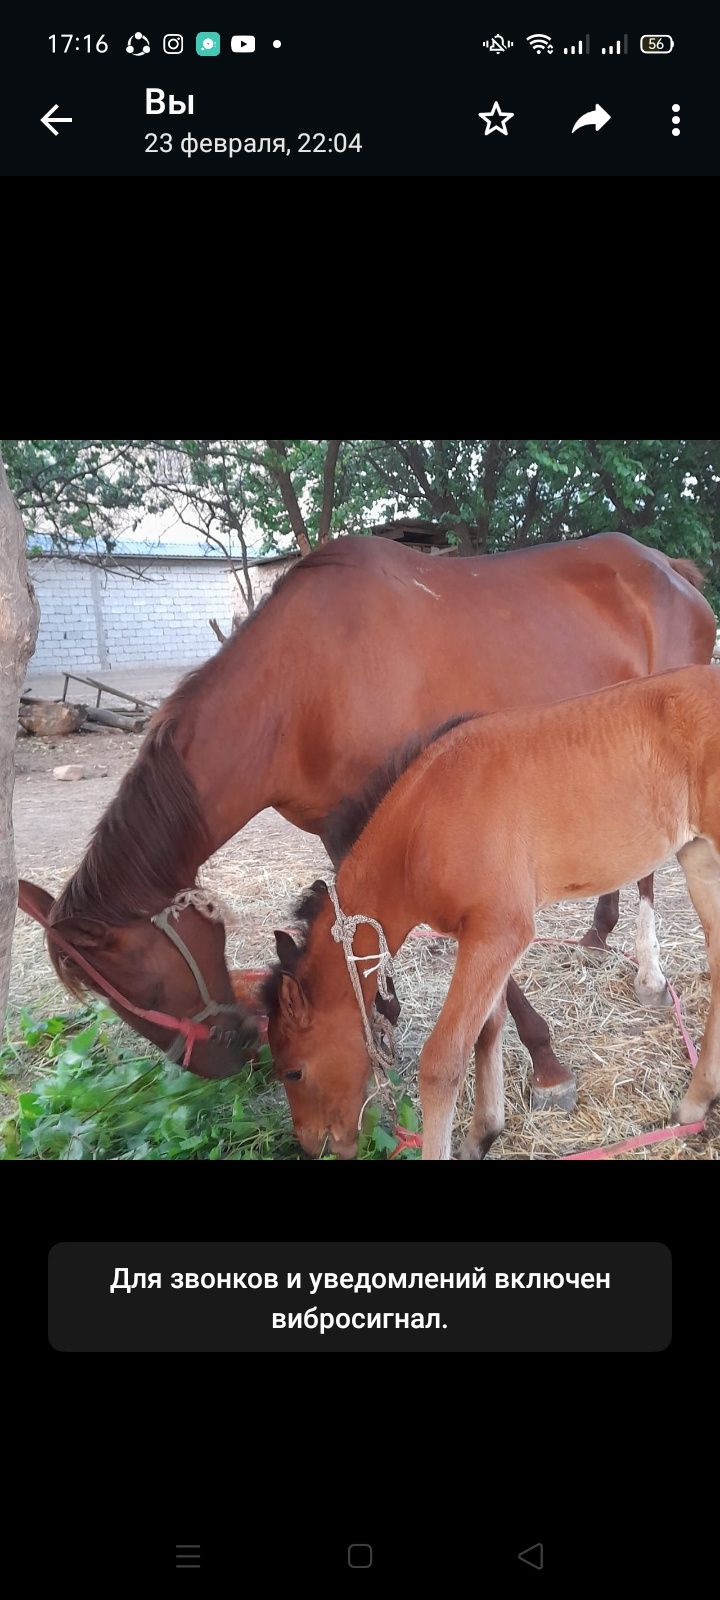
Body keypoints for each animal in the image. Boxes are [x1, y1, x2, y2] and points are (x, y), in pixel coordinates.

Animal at [264, 662, 720, 1164]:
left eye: (293, 1071)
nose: (315, 1146)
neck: (423, 823)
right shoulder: (481, 935)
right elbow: (489, 1027)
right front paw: (483, 1133)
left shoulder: (500, 933)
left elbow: (443, 1060)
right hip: (699, 854)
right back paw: (695, 1103)